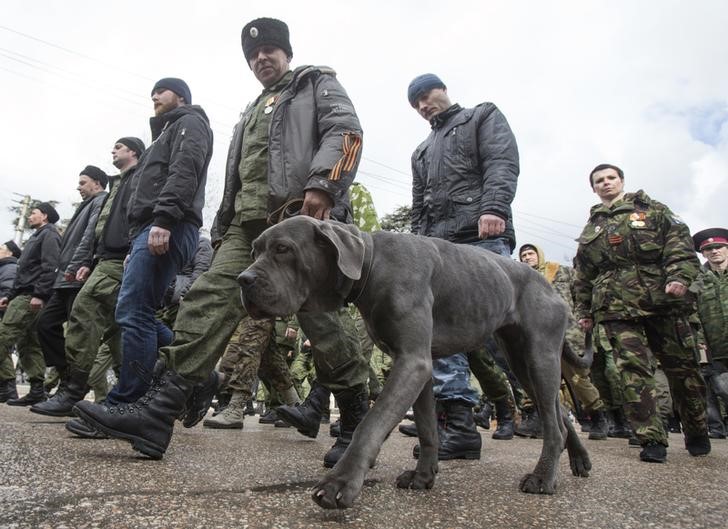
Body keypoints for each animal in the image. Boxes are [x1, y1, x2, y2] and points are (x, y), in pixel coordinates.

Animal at [239, 213, 592, 508]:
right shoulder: (418, 366)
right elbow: (426, 428)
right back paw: (579, 459)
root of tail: (550, 287)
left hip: (538, 356)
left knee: (553, 423)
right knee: (559, 415)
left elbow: (371, 423)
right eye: (255, 251)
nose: (243, 279)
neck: (372, 265)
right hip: (522, 361)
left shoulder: (412, 362)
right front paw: (423, 476)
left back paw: (543, 477)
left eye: (283, 249)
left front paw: (341, 481)